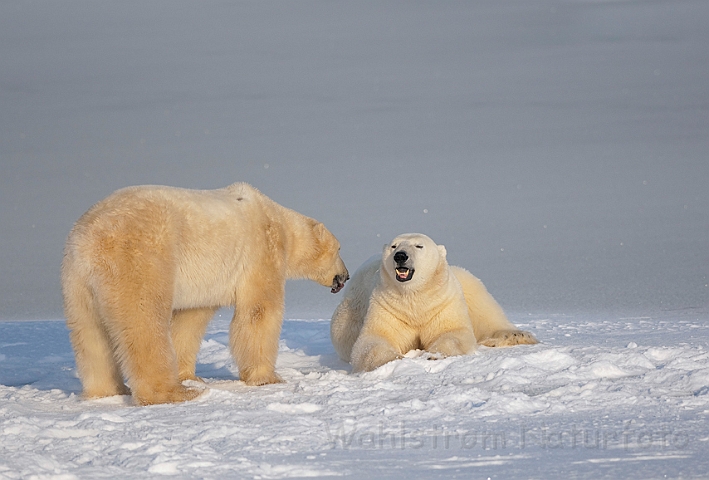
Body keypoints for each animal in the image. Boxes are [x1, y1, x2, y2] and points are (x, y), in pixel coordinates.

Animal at [62, 183, 350, 404]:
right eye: (339, 249)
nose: (345, 276)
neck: (279, 220)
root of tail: (88, 238)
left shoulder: (207, 280)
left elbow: (191, 318)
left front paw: (189, 375)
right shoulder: (261, 251)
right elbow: (259, 311)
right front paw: (268, 378)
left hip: (77, 281)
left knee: (89, 332)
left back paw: (106, 392)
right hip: (139, 258)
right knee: (143, 321)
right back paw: (173, 393)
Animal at [332, 234, 536, 374]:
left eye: (419, 245)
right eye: (394, 245)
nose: (400, 256)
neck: (414, 296)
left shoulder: (442, 302)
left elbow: (451, 333)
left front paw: (432, 355)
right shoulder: (388, 306)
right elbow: (373, 339)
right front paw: (396, 359)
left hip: (463, 281)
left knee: (484, 307)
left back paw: (514, 335)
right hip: (350, 312)